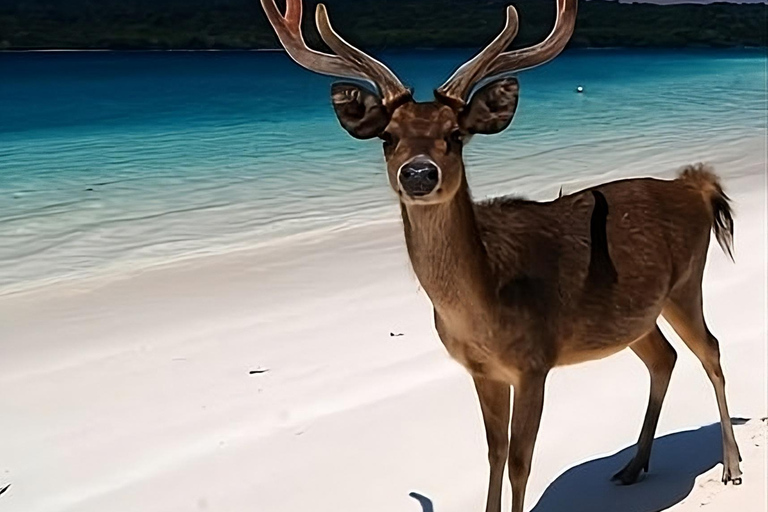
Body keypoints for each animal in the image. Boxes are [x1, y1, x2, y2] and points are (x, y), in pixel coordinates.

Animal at [260, 1, 743, 511]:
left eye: (455, 134)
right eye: (388, 136)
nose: (419, 173)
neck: (484, 313)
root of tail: (696, 185)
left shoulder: (535, 363)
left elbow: (519, 461)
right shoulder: (482, 372)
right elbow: (493, 454)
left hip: (687, 281)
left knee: (710, 350)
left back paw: (732, 466)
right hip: (636, 316)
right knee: (663, 358)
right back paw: (633, 467)